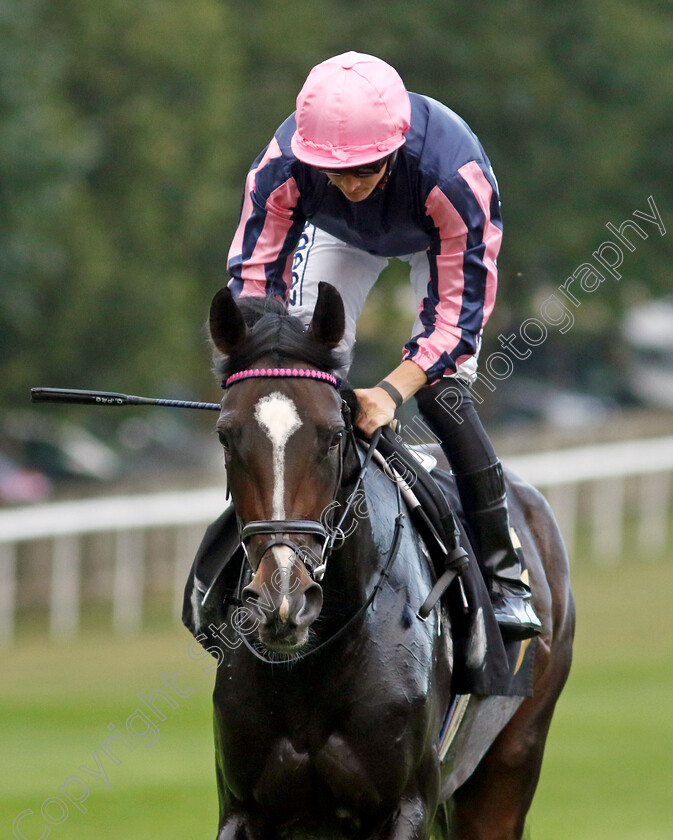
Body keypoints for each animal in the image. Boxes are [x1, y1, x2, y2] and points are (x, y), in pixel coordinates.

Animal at [198, 284, 572, 840]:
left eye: (334, 434)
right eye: (226, 434)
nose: (283, 598)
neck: (318, 662)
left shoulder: (406, 805)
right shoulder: (244, 808)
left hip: (510, 763)